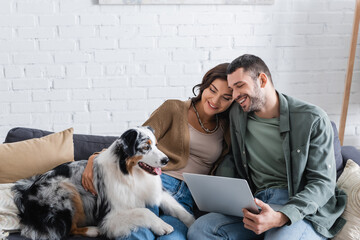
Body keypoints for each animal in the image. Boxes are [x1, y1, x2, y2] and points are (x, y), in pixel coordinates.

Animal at [11, 126, 195, 239]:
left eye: (156, 145)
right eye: (146, 147)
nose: (166, 160)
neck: (131, 175)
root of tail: (27, 192)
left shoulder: (156, 193)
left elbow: (180, 210)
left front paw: (193, 223)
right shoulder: (110, 215)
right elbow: (144, 212)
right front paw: (162, 225)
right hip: (65, 190)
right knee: (68, 230)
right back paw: (94, 230)